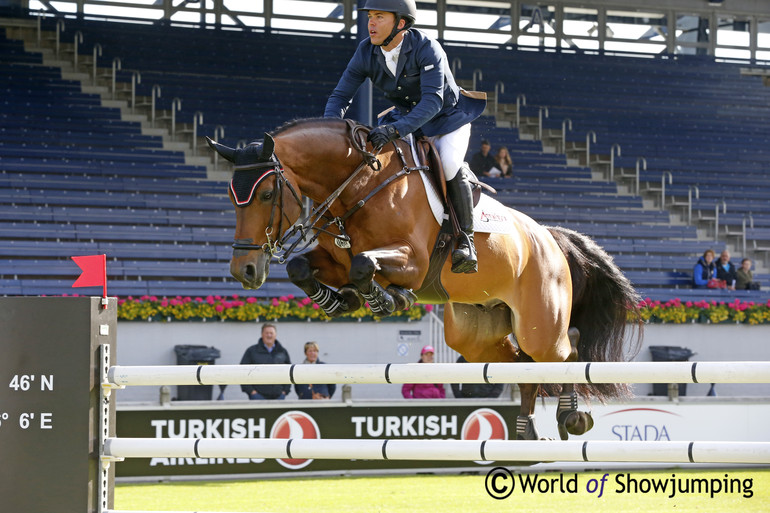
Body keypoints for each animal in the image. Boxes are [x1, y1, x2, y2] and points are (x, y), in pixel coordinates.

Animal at [206, 117, 640, 440]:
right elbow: (303, 268)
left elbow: (364, 265)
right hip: (474, 333)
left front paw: (388, 299)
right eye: (229, 197)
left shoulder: (412, 261)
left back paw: (572, 416)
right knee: (523, 366)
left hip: (539, 320)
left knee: (565, 350)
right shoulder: (333, 259)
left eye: (266, 195)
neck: (360, 185)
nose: (244, 271)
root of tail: (549, 236)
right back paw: (526, 430)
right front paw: (341, 300)